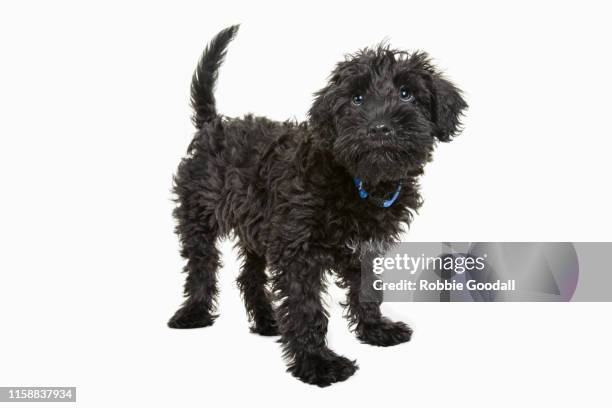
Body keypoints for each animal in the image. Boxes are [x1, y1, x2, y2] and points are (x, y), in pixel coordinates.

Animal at [170, 25, 466, 386]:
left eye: (407, 93)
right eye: (356, 99)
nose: (380, 128)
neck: (359, 182)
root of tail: (215, 125)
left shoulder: (365, 248)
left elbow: (367, 290)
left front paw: (375, 329)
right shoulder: (298, 252)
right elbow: (306, 308)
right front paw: (317, 363)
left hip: (257, 229)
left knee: (248, 276)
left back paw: (267, 321)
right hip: (198, 214)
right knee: (201, 265)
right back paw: (194, 313)